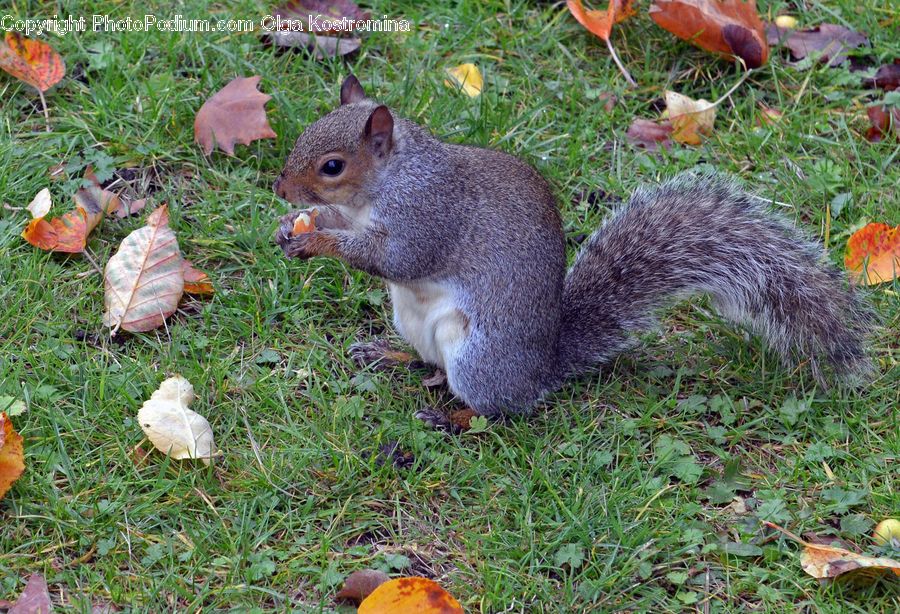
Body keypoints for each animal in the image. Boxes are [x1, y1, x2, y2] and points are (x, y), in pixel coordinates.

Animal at [274, 76, 872, 424]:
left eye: (332, 166)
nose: (280, 189)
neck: (382, 186)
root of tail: (545, 367)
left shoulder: (429, 215)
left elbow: (396, 259)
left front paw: (319, 239)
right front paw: (290, 229)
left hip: (479, 356)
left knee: (495, 409)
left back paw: (454, 418)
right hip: (413, 324)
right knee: (430, 365)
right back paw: (386, 355)